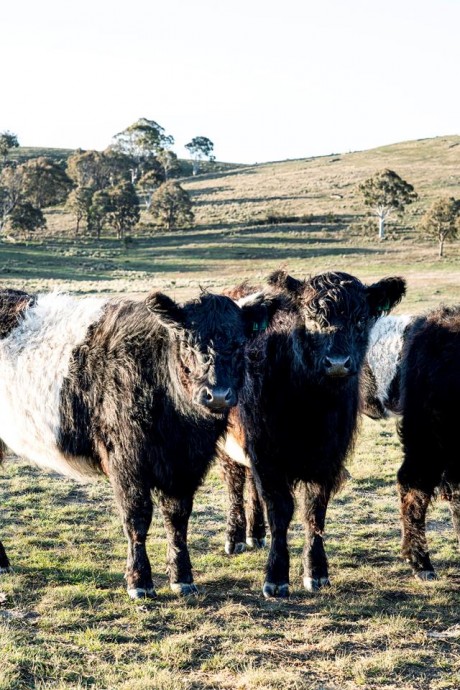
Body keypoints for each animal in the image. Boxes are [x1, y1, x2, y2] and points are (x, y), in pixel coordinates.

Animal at [0, 284, 270, 596]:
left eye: (238, 344)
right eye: (188, 342)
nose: (218, 395)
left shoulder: (185, 464)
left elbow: (177, 519)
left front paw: (182, 577)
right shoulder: (126, 460)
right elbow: (137, 518)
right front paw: (139, 581)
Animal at [217, 268, 404, 596]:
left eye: (360, 319)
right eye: (311, 317)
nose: (338, 362)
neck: (312, 408)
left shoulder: (328, 460)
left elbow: (315, 512)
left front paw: (316, 571)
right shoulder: (268, 455)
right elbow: (280, 510)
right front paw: (276, 577)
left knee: (250, 485)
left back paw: (255, 533)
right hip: (229, 445)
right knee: (234, 484)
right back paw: (235, 537)